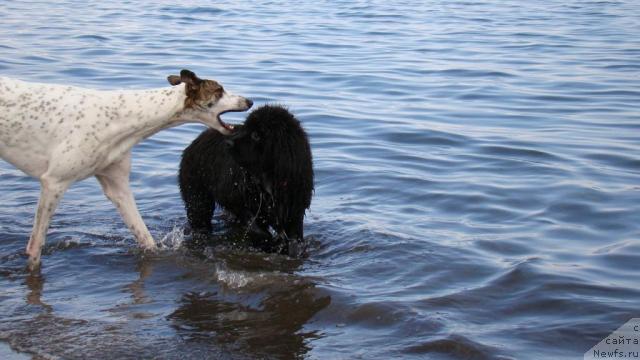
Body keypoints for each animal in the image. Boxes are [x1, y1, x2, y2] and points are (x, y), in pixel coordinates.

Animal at [0, 69, 252, 268]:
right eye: (219, 90)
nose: (250, 100)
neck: (120, 117)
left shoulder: (118, 187)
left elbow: (145, 237)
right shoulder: (54, 183)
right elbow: (36, 246)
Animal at [179, 105, 314, 256]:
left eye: (256, 135)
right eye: (245, 128)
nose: (228, 142)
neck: (268, 178)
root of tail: (194, 142)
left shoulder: (294, 207)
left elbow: (295, 236)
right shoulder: (235, 198)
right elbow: (254, 225)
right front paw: (271, 243)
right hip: (197, 196)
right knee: (200, 217)